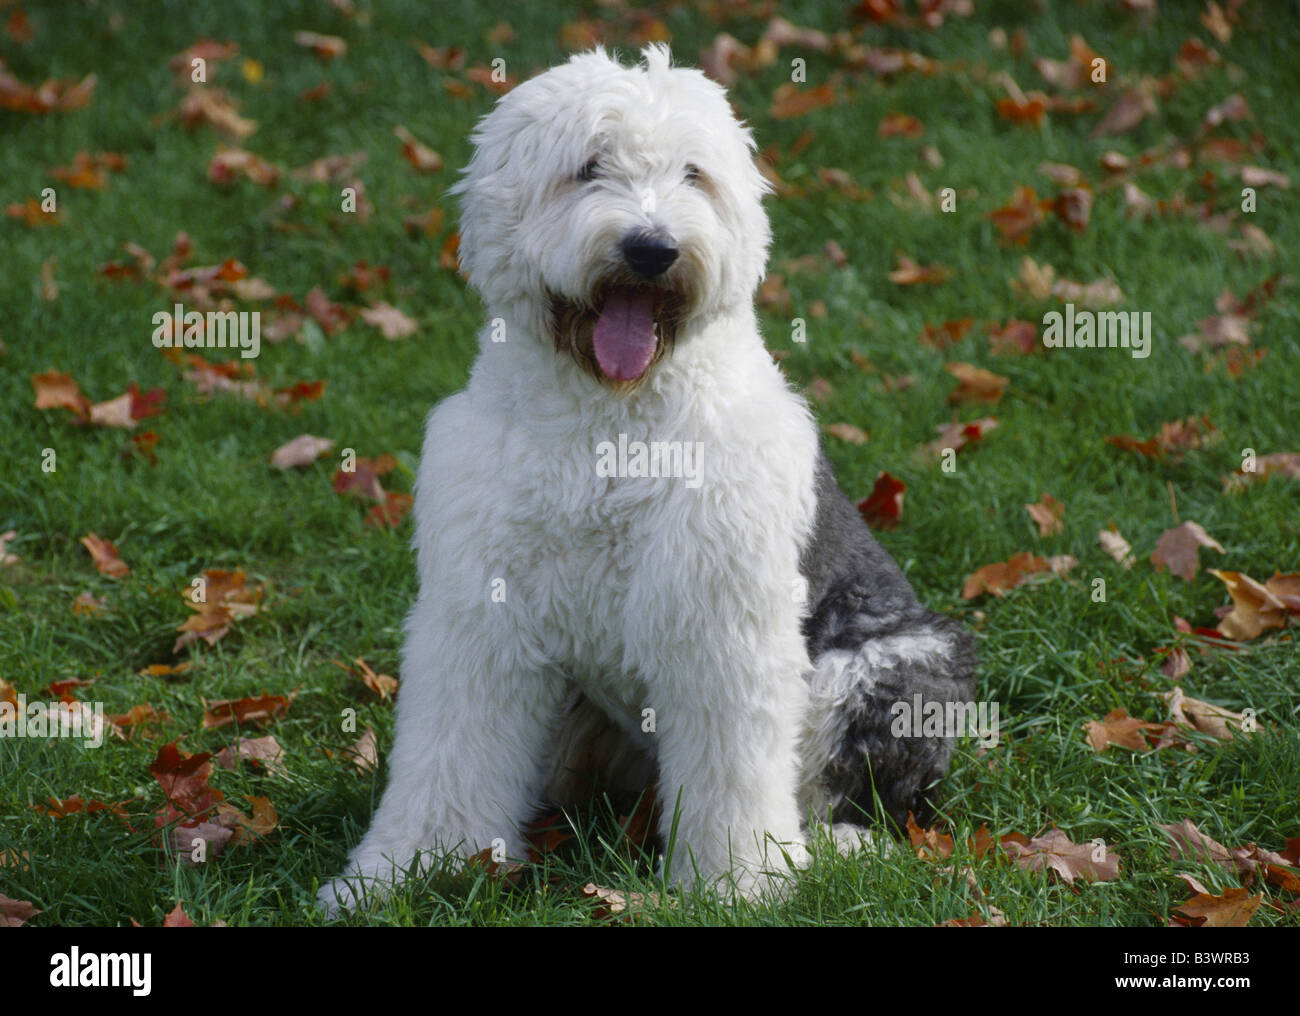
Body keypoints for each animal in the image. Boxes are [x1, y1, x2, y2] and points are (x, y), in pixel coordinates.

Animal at [322, 43, 977, 914]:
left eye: (694, 173)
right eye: (588, 166)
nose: (651, 250)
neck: (611, 421)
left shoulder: (721, 622)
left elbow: (735, 777)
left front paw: (740, 887)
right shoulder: (481, 616)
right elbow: (448, 756)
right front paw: (402, 873)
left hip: (890, 665)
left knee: (857, 794)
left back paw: (832, 853)